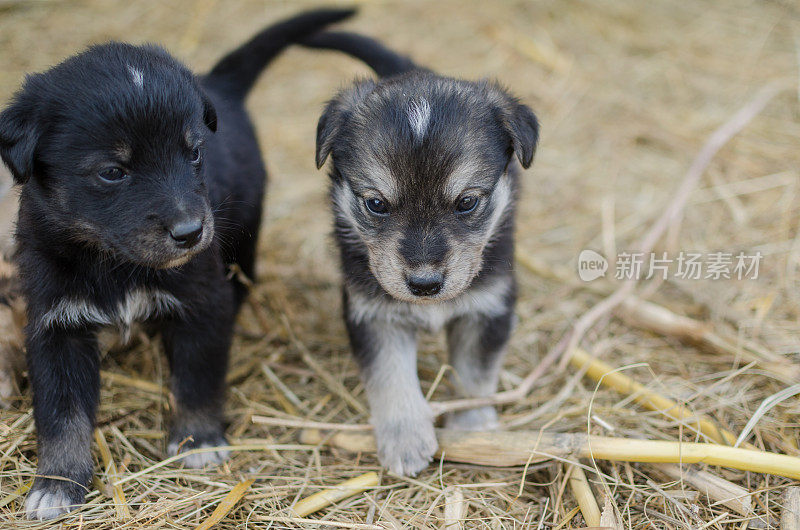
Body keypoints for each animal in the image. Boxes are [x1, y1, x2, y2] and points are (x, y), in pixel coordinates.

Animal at [0, 9, 354, 520]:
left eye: (195, 153)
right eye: (113, 172)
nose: (191, 233)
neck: (114, 263)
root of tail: (218, 83)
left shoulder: (202, 301)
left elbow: (196, 377)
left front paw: (198, 442)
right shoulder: (54, 322)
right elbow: (61, 412)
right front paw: (57, 484)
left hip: (243, 237)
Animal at [304, 34, 540, 474]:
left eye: (466, 202)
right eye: (376, 204)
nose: (425, 285)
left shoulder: (488, 308)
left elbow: (474, 375)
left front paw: (473, 428)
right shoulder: (374, 314)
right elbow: (391, 377)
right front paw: (406, 441)